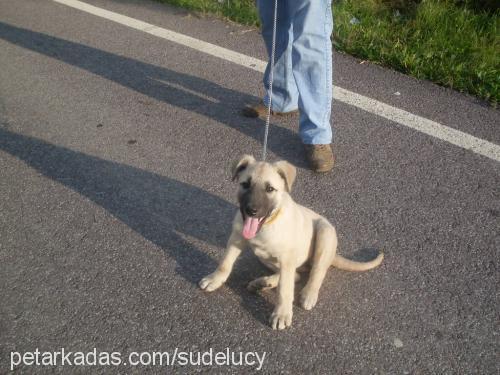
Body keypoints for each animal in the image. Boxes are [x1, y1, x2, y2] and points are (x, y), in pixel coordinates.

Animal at [199, 155, 382, 328]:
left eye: (270, 189)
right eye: (245, 184)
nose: (251, 210)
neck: (267, 225)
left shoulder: (287, 259)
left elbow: (285, 289)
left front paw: (281, 314)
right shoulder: (236, 238)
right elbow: (225, 262)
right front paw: (215, 279)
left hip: (325, 233)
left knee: (317, 271)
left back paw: (308, 293)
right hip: (266, 258)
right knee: (297, 275)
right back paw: (262, 283)